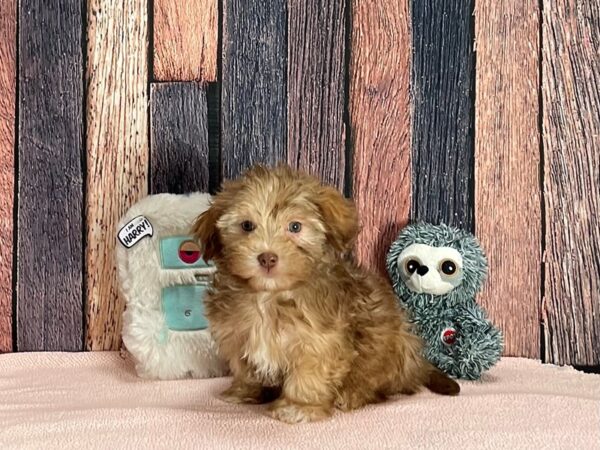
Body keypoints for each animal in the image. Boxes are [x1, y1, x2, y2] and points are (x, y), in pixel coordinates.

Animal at [193, 164, 460, 422]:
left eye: (295, 227)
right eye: (247, 225)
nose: (267, 257)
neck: (270, 295)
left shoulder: (318, 341)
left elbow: (308, 375)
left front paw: (299, 407)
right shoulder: (236, 334)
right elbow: (244, 366)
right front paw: (246, 391)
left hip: (391, 348)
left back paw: (352, 394)